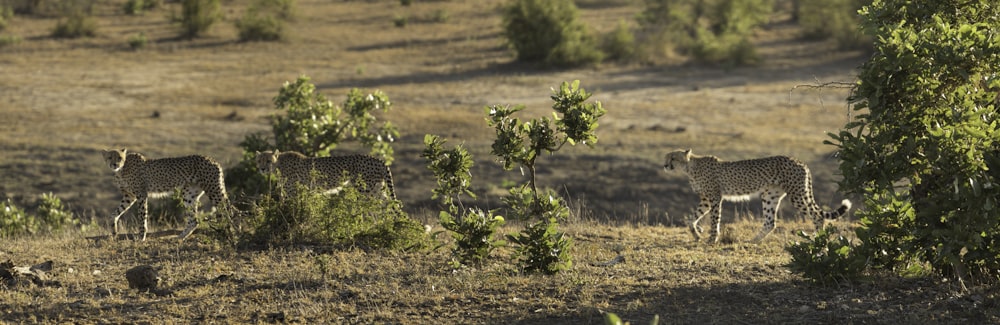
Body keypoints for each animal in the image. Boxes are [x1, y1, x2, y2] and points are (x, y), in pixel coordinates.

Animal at [103, 148, 232, 239]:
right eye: (110, 157)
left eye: (119, 158)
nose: (115, 164)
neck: (121, 170)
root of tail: (212, 159)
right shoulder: (129, 196)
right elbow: (114, 213)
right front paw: (113, 230)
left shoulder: (141, 194)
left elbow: (142, 215)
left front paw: (141, 237)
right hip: (188, 193)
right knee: (194, 220)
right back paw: (180, 237)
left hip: (213, 190)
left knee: (227, 208)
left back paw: (232, 230)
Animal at [252, 151, 396, 199]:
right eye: (259, 161)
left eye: (268, 161)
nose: (262, 169)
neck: (279, 164)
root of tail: (377, 159)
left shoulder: (292, 193)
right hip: (376, 189)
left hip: (365, 191)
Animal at [664, 148, 852, 242]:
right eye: (667, 157)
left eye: (673, 158)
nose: (665, 165)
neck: (690, 167)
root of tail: (800, 161)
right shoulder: (705, 199)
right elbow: (691, 218)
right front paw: (697, 233)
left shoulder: (715, 197)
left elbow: (714, 219)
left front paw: (712, 239)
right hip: (770, 196)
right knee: (770, 222)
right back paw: (754, 240)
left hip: (796, 195)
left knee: (817, 216)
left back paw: (818, 238)